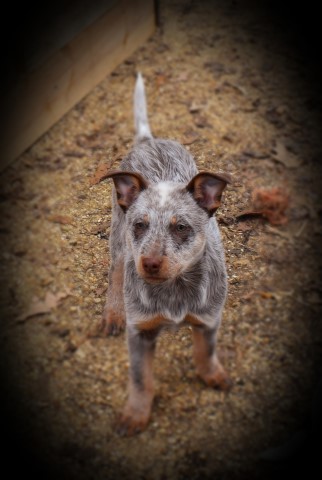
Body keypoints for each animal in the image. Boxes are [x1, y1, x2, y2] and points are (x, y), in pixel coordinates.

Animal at [101, 74, 231, 436]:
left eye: (181, 227)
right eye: (141, 225)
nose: (150, 264)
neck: (174, 292)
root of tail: (150, 139)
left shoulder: (208, 319)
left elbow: (205, 353)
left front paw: (213, 375)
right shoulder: (140, 333)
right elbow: (140, 378)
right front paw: (135, 414)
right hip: (118, 238)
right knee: (116, 271)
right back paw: (113, 312)